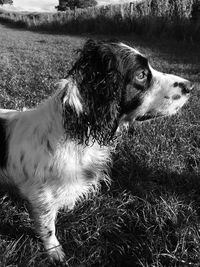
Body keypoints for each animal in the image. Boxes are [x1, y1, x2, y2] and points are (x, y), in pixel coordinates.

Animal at [0, 40, 193, 264]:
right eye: (141, 75)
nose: (191, 86)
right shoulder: (41, 198)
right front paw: (54, 251)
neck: (71, 134)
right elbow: (48, 228)